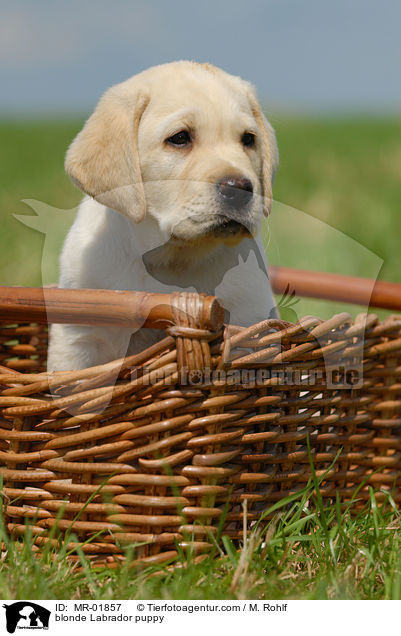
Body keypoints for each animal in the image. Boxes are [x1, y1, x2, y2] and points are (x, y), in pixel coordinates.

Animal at [47, 62, 278, 370]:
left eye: (248, 140)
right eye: (179, 138)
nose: (240, 188)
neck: (172, 259)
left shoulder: (252, 318)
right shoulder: (77, 340)